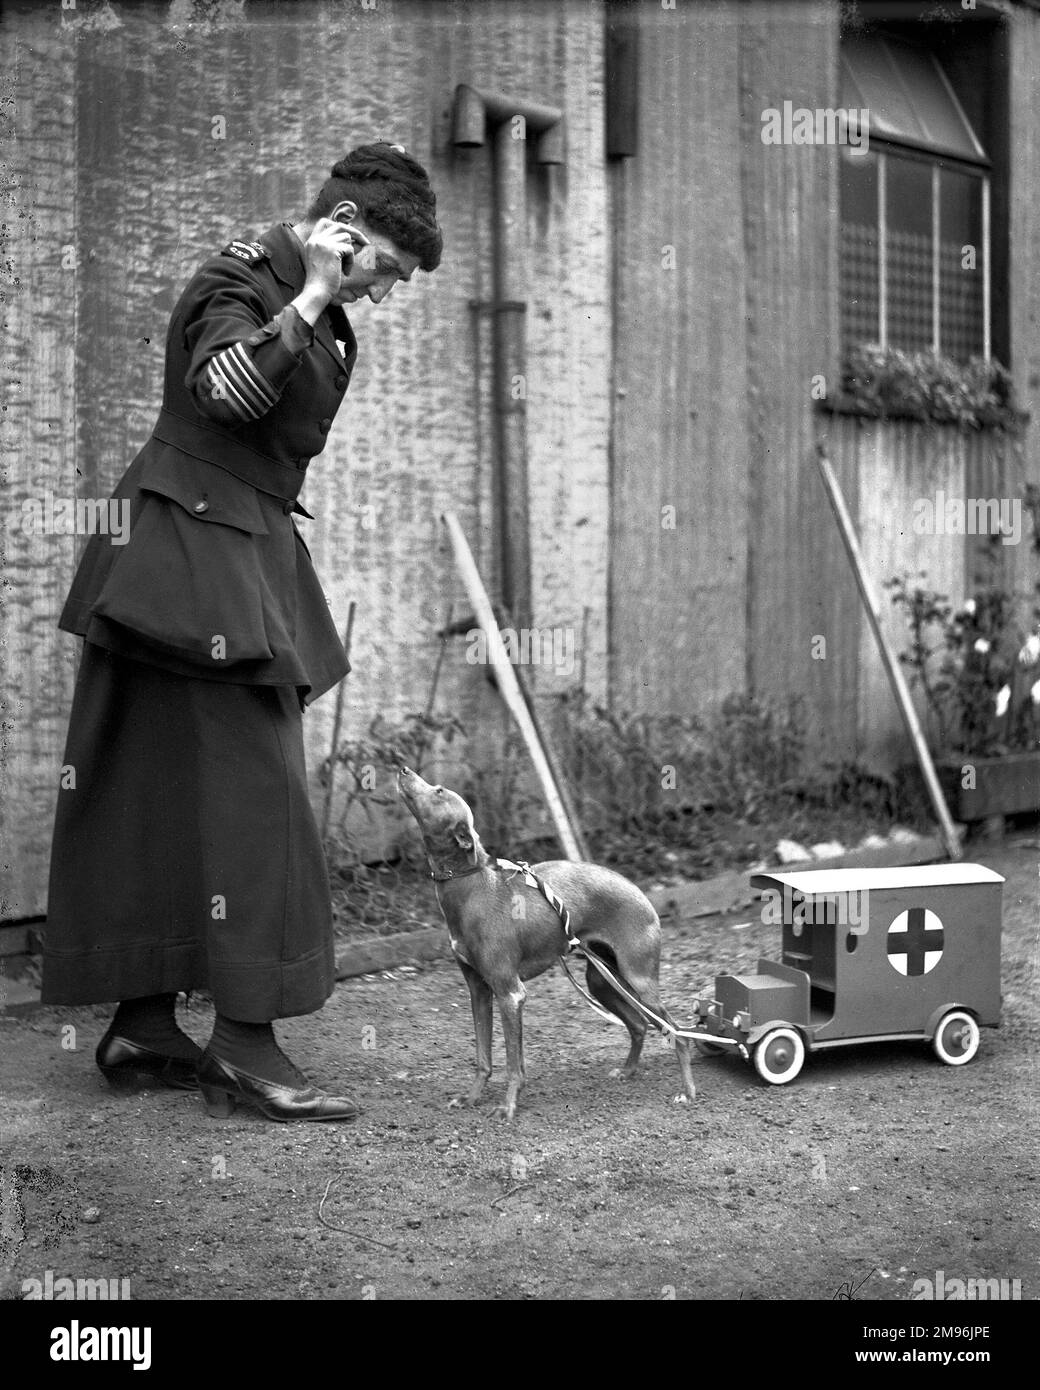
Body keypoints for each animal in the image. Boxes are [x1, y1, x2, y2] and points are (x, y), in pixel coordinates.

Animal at [397, 767, 697, 1123]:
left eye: (439, 791)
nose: (403, 769)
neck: (473, 888)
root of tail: (643, 895)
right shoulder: (479, 991)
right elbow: (483, 1058)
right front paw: (471, 1099)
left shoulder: (510, 994)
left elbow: (514, 1064)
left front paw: (508, 1106)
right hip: (600, 981)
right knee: (638, 1025)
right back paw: (627, 1071)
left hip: (640, 982)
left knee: (677, 1033)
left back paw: (688, 1092)